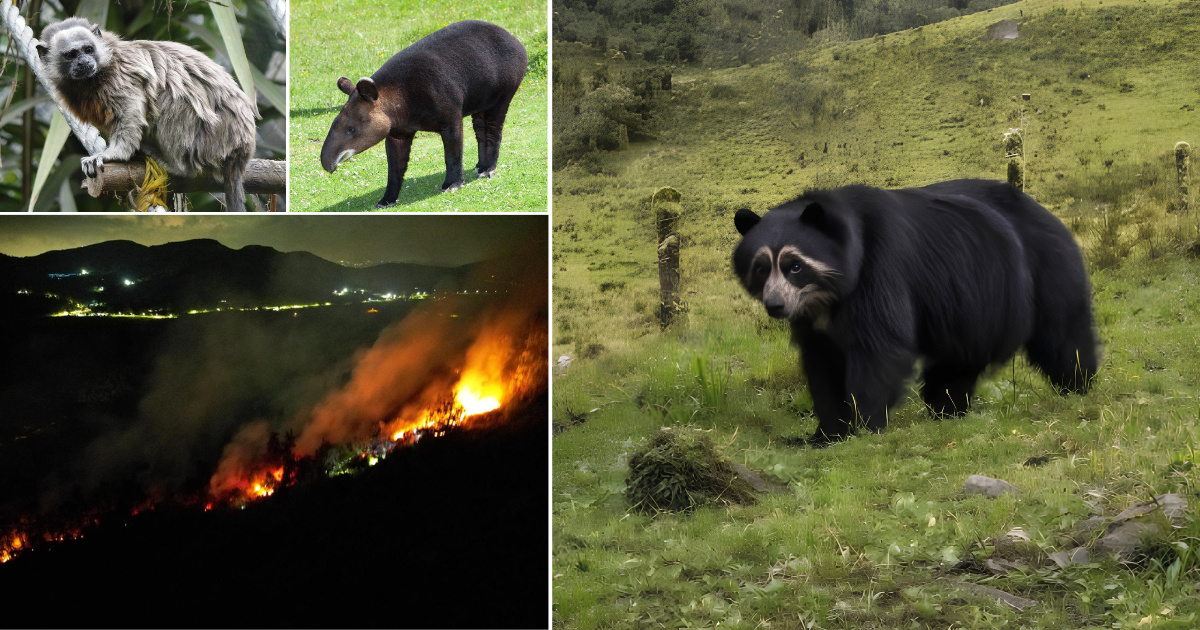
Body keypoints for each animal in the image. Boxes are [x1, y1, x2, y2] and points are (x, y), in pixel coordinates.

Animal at [320, 20, 528, 207]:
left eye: (351, 129)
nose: (326, 163)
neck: (398, 97)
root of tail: (515, 39)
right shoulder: (397, 130)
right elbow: (395, 166)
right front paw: (386, 200)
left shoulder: (450, 116)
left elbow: (453, 152)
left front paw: (452, 185)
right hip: (480, 97)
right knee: (480, 127)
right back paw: (480, 166)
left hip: (503, 91)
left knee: (492, 128)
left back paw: (487, 170)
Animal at [732, 179, 1098, 444]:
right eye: (761, 268)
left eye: (794, 265)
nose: (776, 306)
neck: (830, 296)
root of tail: (1049, 214)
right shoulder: (813, 322)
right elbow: (821, 364)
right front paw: (824, 434)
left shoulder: (881, 272)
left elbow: (880, 349)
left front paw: (863, 426)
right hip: (969, 308)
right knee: (955, 367)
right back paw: (946, 409)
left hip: (1046, 272)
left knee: (1064, 335)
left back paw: (1078, 385)